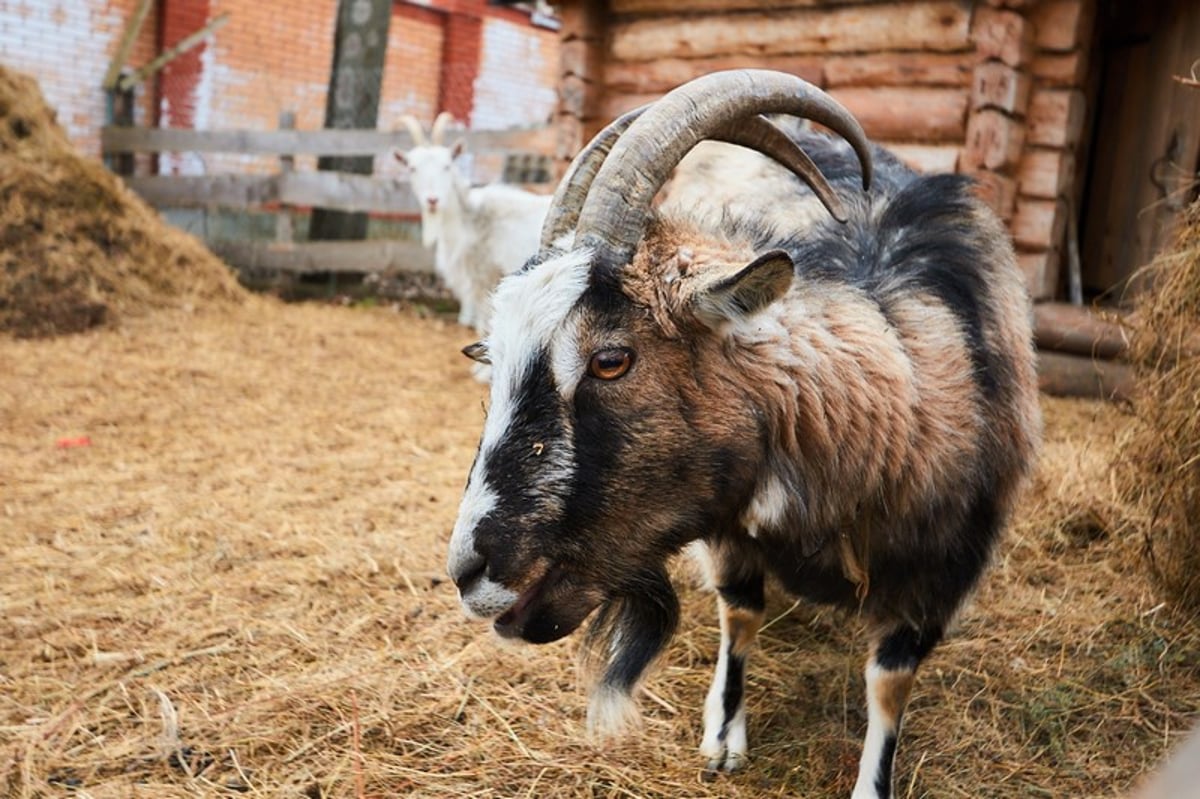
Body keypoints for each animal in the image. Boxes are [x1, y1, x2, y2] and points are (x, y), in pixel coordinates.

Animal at [446, 69, 1036, 796]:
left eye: (611, 359)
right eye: (494, 357)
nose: (467, 571)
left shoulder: (941, 571)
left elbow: (889, 683)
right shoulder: (730, 529)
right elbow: (742, 613)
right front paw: (724, 737)